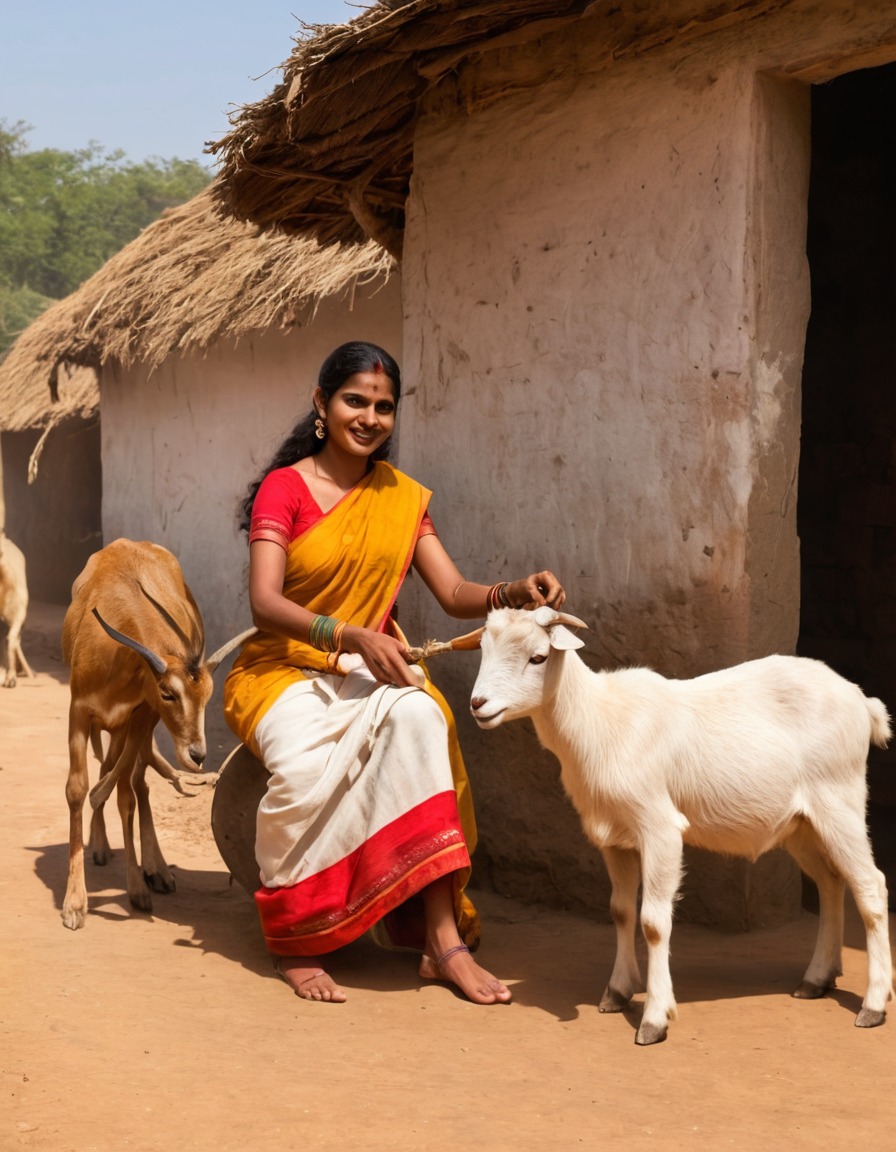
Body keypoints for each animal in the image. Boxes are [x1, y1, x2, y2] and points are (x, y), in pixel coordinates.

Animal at [60, 536, 254, 926]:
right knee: (120, 773)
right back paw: (102, 846)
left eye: (208, 695)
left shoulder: (140, 715)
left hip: (131, 727)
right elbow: (77, 789)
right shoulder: (80, 710)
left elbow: (125, 794)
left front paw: (137, 887)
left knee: (134, 782)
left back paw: (156, 869)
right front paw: (74, 903)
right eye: (169, 693)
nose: (197, 754)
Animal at [472, 608, 889, 1050]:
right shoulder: (615, 838)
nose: (478, 704)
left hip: (840, 800)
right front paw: (617, 992)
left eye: (537, 657)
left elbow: (654, 923)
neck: (600, 721)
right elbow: (620, 910)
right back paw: (817, 979)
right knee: (832, 882)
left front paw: (654, 1019)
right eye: (483, 648)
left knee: (870, 887)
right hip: (801, 824)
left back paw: (873, 1005)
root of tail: (862, 701)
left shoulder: (659, 827)